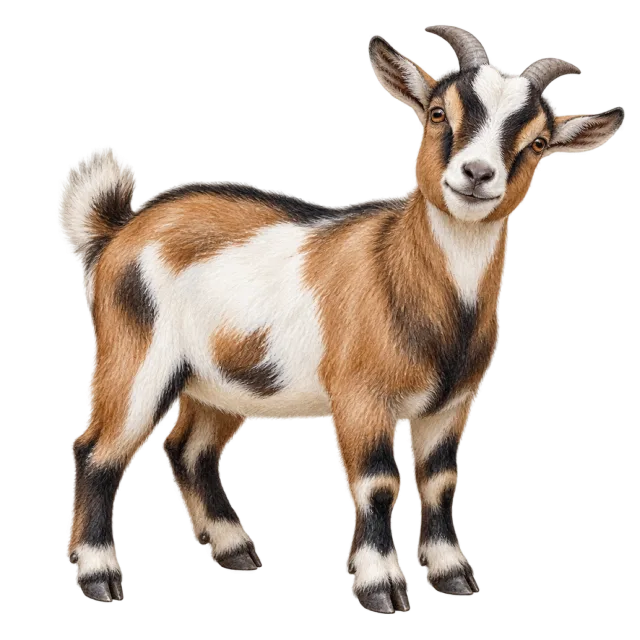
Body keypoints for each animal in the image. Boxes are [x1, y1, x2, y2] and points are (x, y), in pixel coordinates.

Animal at [58, 24, 623, 612]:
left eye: (537, 142)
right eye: (438, 112)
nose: (476, 174)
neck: (401, 272)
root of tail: (117, 233)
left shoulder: (454, 403)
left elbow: (440, 480)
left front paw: (453, 575)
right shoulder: (360, 396)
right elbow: (378, 483)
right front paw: (381, 587)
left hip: (222, 382)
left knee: (189, 449)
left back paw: (235, 551)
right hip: (136, 355)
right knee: (98, 451)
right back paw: (100, 578)